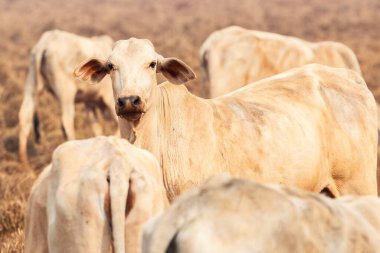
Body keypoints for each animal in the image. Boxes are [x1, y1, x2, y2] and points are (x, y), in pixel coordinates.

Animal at [18, 29, 117, 168]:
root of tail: (46, 42)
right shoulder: (109, 100)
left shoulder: (90, 103)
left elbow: (96, 127)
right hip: (66, 93)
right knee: (66, 123)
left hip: (31, 87)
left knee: (25, 118)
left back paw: (24, 164)